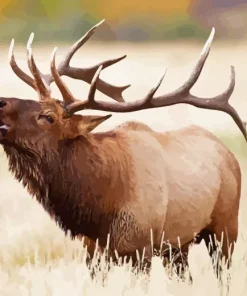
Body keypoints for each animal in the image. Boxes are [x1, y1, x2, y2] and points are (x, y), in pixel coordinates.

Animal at [0, 20, 246, 266]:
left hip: (226, 228)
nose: (2, 100)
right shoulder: (93, 252)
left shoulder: (141, 247)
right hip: (178, 246)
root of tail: (229, 154)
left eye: (48, 117)